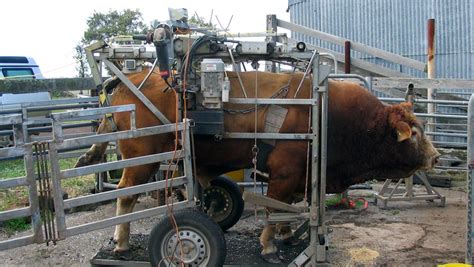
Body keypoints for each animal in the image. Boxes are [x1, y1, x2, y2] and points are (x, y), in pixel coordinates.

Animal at [75, 68, 440, 260]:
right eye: (414, 132)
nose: (436, 157)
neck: (327, 112)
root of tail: (127, 77)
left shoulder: (299, 178)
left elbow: (287, 210)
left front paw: (287, 235)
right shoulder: (283, 175)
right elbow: (274, 207)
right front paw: (268, 244)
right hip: (139, 161)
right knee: (126, 197)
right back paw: (121, 242)